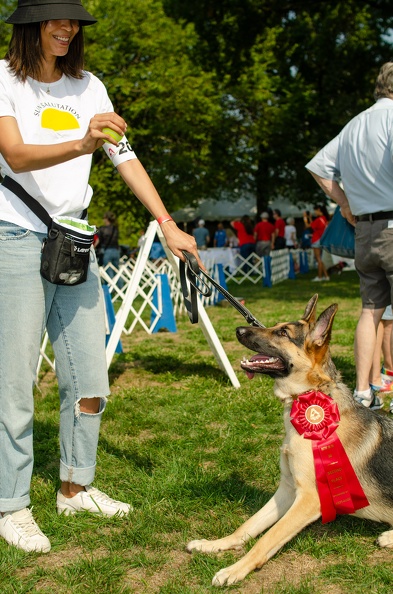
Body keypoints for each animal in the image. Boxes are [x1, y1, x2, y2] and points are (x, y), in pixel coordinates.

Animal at [185, 294, 392, 584]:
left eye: (283, 333)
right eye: (275, 326)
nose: (239, 330)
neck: (308, 400)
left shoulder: (308, 500)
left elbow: (267, 538)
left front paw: (234, 569)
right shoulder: (287, 489)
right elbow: (249, 525)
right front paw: (215, 544)